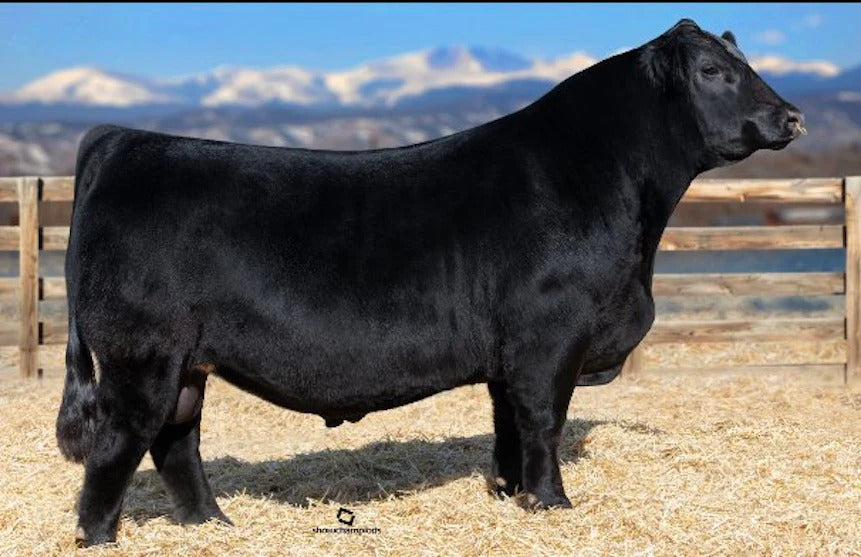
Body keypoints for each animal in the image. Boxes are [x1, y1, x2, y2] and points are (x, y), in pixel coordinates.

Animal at [56, 19, 804, 546]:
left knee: (175, 439)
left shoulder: (510, 356)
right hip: (140, 356)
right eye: (712, 70)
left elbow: (507, 426)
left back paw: (211, 524)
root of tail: (124, 139)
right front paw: (552, 502)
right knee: (119, 443)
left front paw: (509, 494)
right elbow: (543, 422)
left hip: (185, 361)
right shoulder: (549, 340)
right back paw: (101, 538)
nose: (792, 117)